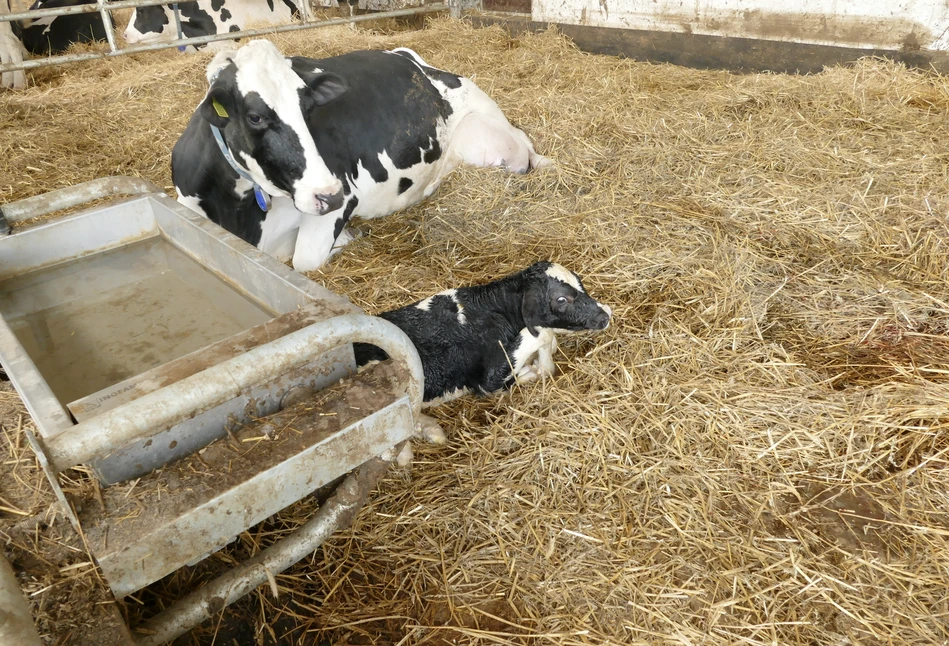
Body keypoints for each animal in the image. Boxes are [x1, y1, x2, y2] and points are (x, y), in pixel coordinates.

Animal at [170, 38, 548, 270]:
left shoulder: (345, 198)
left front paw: (349, 237)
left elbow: (303, 258)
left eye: (307, 107)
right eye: (255, 117)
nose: (328, 194)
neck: (239, 210)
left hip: (483, 139)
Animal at [352, 262, 612, 404]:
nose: (605, 315)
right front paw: (531, 371)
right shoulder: (487, 381)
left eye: (581, 284)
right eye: (561, 299)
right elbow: (541, 339)